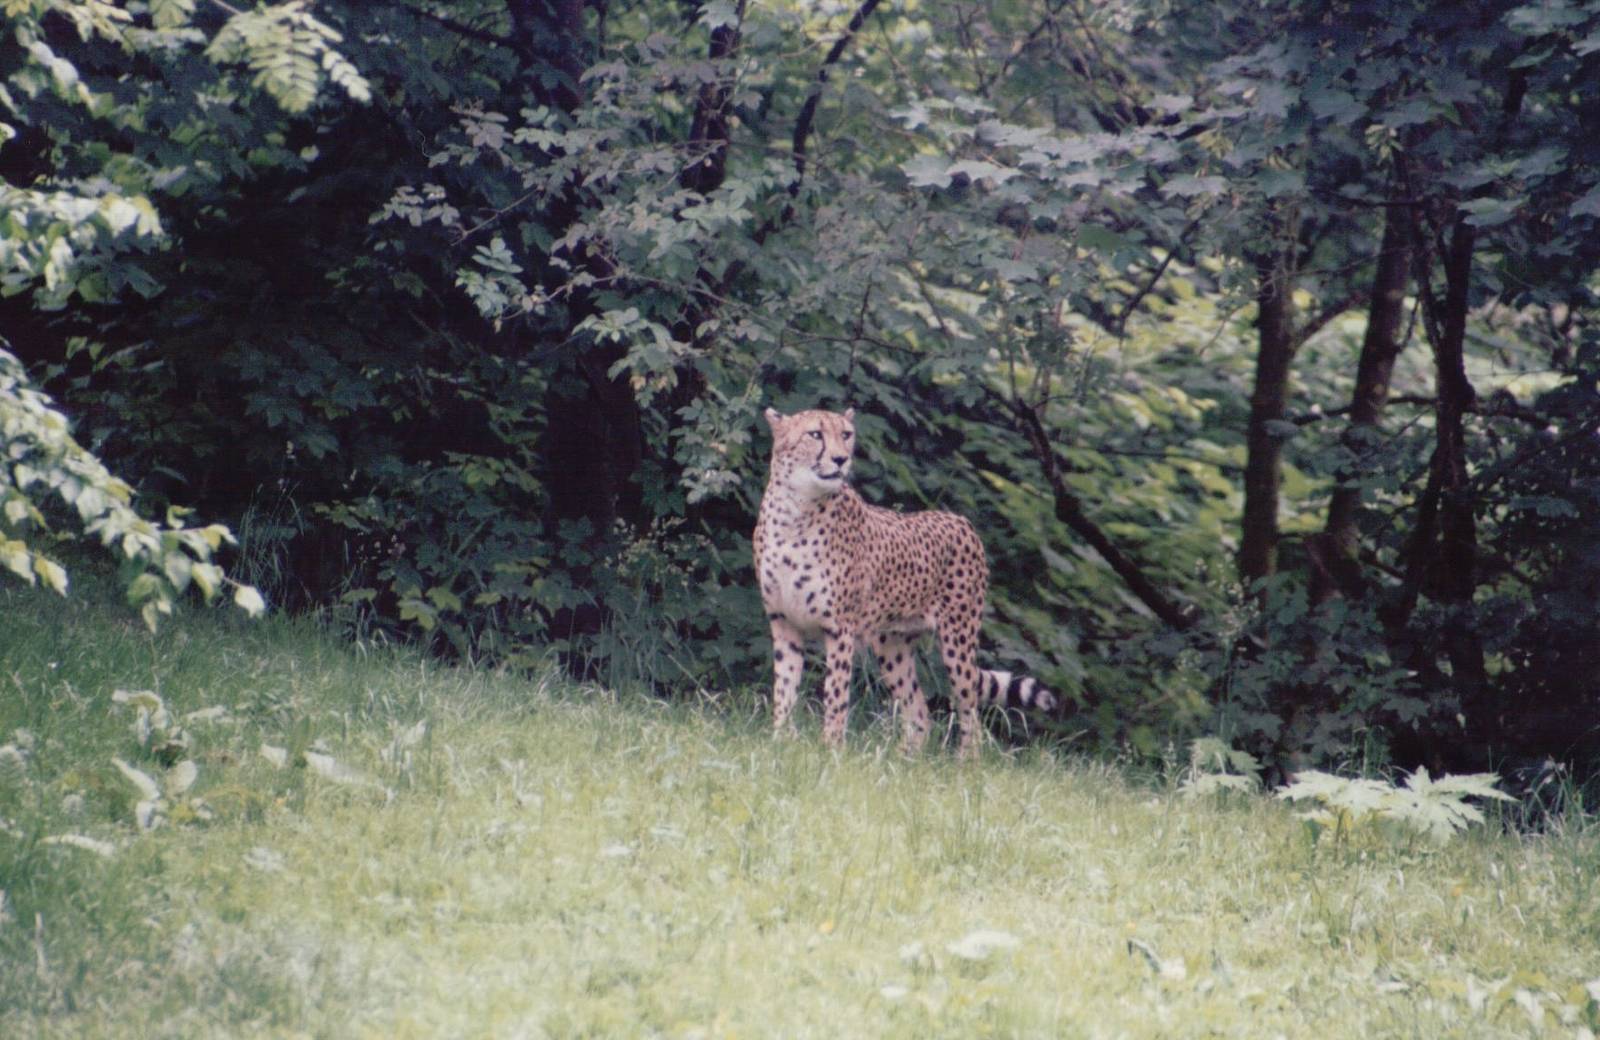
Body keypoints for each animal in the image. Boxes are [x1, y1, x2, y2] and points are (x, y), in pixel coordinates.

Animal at [753, 406, 1059, 757]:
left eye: (846, 434)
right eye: (814, 434)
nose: (841, 459)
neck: (796, 509)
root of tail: (960, 519)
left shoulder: (840, 629)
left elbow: (835, 697)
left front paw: (831, 750)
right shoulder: (784, 622)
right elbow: (784, 688)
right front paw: (779, 742)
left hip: (957, 639)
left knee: (970, 714)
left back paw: (965, 763)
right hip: (892, 645)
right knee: (920, 712)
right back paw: (902, 760)